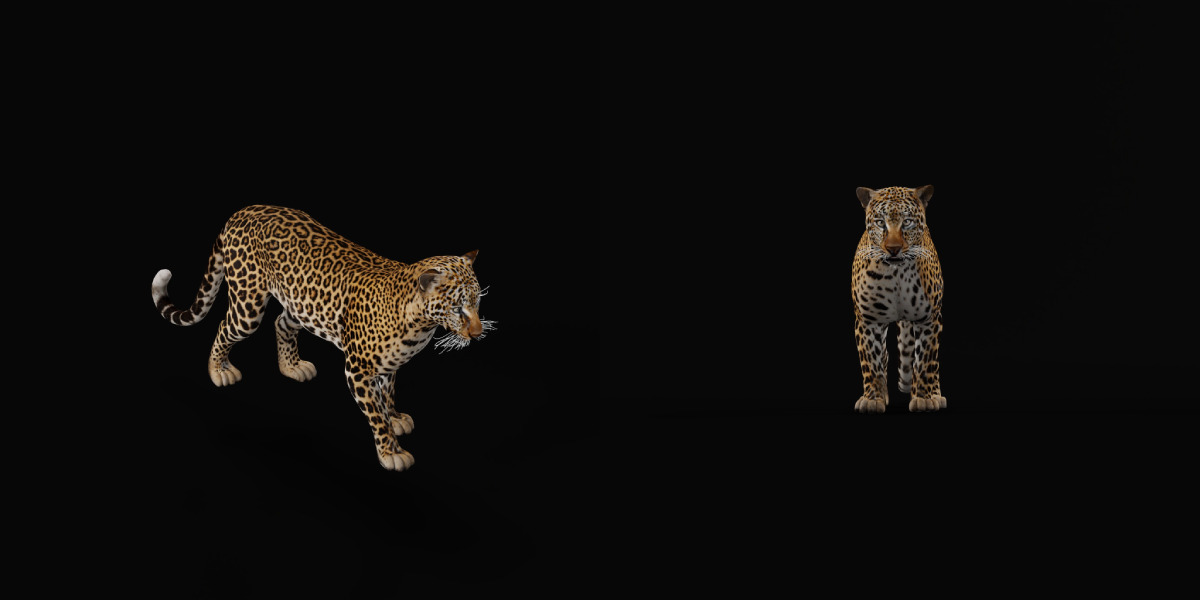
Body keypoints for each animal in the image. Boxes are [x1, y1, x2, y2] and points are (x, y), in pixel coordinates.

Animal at [151, 205, 494, 470]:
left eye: (477, 301)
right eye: (457, 307)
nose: (477, 333)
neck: (421, 324)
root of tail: (243, 211)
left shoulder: (388, 366)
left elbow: (388, 394)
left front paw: (395, 416)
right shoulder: (357, 370)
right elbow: (375, 414)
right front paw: (391, 452)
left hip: (302, 304)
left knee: (281, 323)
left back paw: (292, 367)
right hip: (248, 304)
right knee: (225, 326)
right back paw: (219, 370)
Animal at [851, 185, 945, 413]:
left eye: (907, 221)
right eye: (880, 222)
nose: (893, 249)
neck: (896, 274)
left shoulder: (929, 320)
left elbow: (925, 362)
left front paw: (924, 398)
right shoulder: (868, 320)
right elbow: (871, 362)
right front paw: (873, 399)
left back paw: (935, 394)